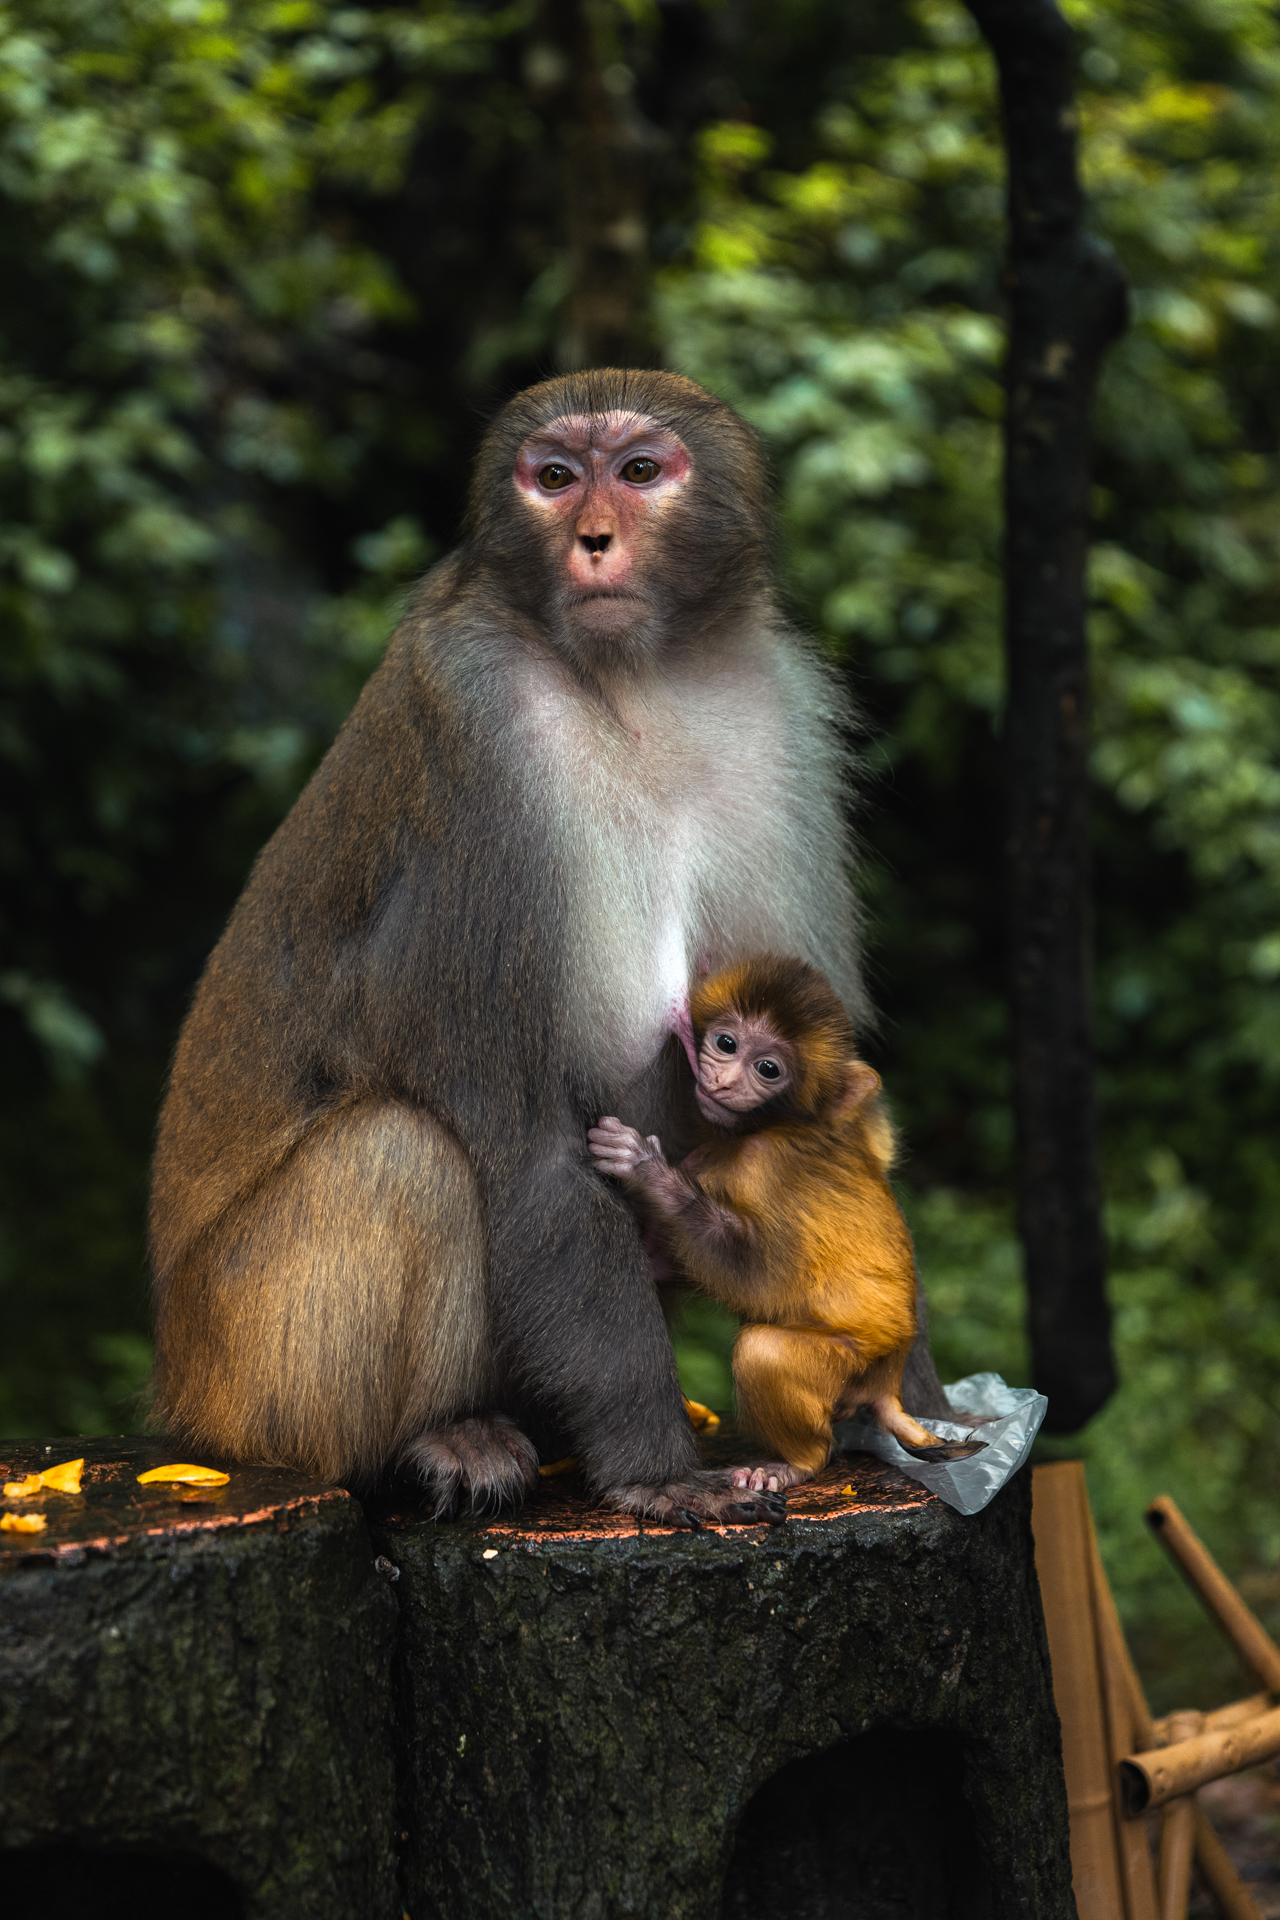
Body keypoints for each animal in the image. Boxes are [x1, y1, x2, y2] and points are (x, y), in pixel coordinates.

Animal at [588, 956, 985, 1492]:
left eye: (768, 1069)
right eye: (727, 1043)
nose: (724, 1082)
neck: (771, 1126)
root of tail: (889, 1381)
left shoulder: (765, 1168)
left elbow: (762, 1282)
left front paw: (646, 1172)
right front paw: (649, 1252)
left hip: (849, 1367)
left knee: (765, 1350)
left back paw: (798, 1462)